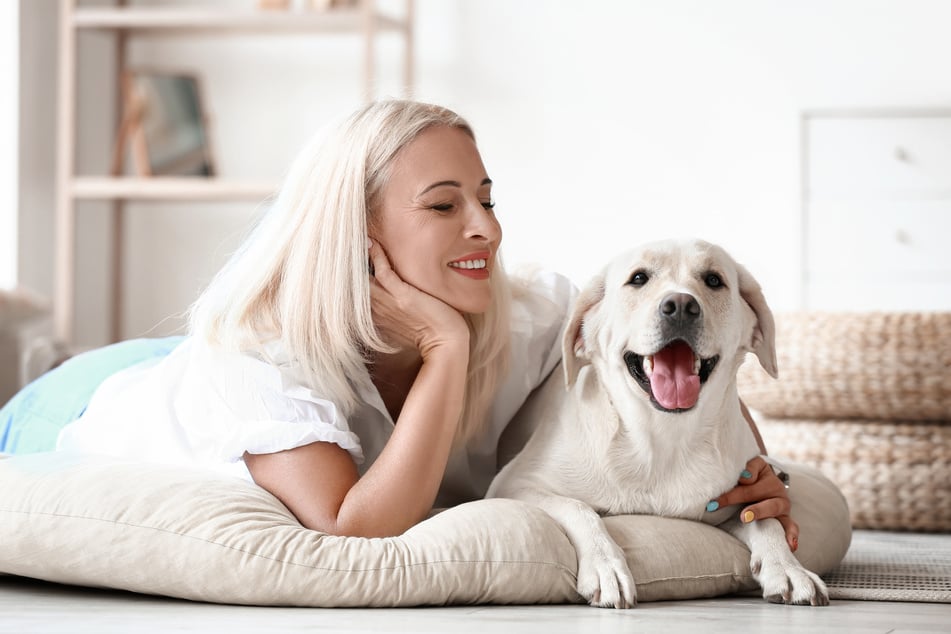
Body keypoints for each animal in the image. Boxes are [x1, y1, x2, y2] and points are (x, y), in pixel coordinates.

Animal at [488, 238, 828, 608]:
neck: (662, 440)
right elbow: (578, 507)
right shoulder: (515, 484)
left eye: (713, 280)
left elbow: (765, 520)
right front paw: (605, 566)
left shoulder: (731, 499)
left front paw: (788, 568)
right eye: (638, 278)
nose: (680, 306)